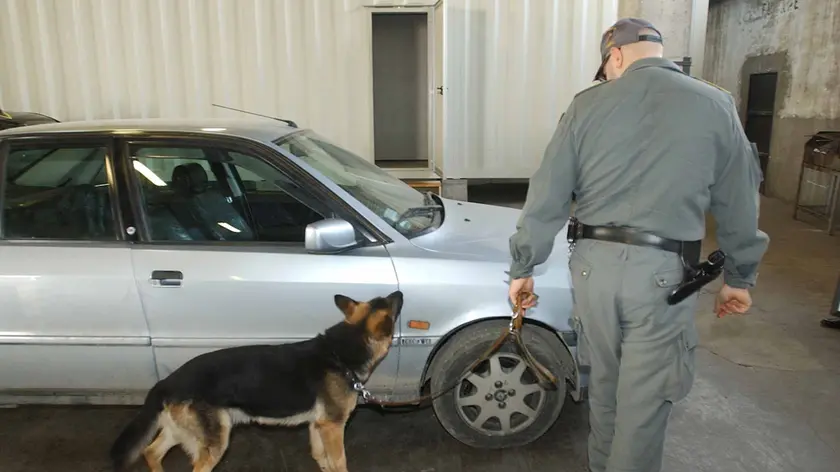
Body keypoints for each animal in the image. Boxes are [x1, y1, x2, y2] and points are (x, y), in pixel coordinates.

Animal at [110, 292, 406, 472]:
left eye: (383, 298)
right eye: (389, 304)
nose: (400, 292)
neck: (341, 352)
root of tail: (167, 381)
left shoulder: (318, 426)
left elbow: (322, 459)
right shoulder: (333, 427)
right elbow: (339, 462)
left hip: (180, 430)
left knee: (150, 452)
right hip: (215, 441)